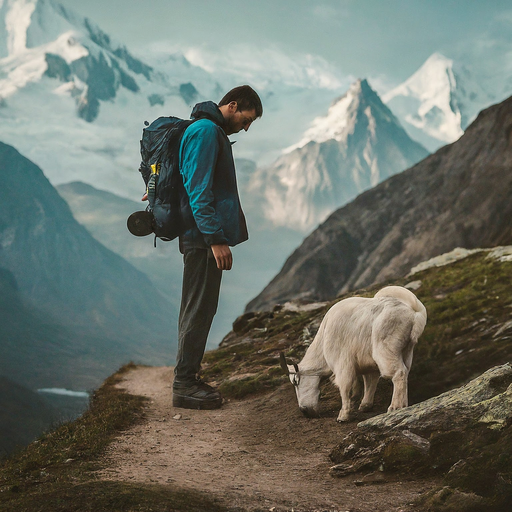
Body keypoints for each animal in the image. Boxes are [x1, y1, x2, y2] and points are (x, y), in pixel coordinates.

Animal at [282, 286, 426, 422]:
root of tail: (415, 314)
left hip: (386, 349)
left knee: (398, 373)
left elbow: (345, 387)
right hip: (407, 350)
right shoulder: (367, 363)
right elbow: (369, 381)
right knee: (405, 371)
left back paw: (395, 407)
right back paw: (404, 404)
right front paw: (365, 405)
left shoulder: (342, 363)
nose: (305, 411)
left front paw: (343, 415)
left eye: (295, 381)